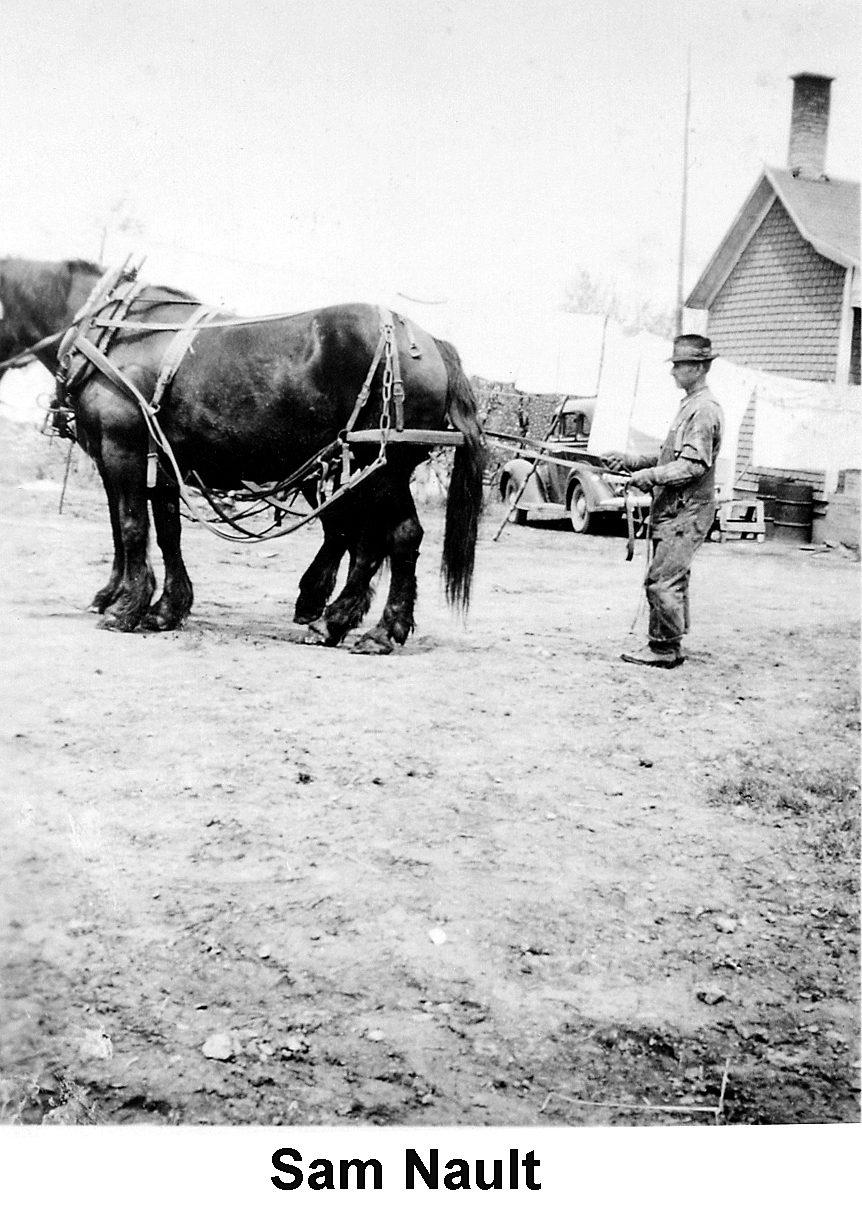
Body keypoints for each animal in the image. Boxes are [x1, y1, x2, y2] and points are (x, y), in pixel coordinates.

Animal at [0, 256, 484, 653]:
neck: (115, 332)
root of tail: (427, 340)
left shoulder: (124, 451)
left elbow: (133, 527)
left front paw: (125, 609)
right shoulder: (160, 462)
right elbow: (161, 532)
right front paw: (163, 607)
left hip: (382, 465)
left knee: (398, 536)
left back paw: (374, 630)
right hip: (358, 469)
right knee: (363, 538)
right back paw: (336, 620)